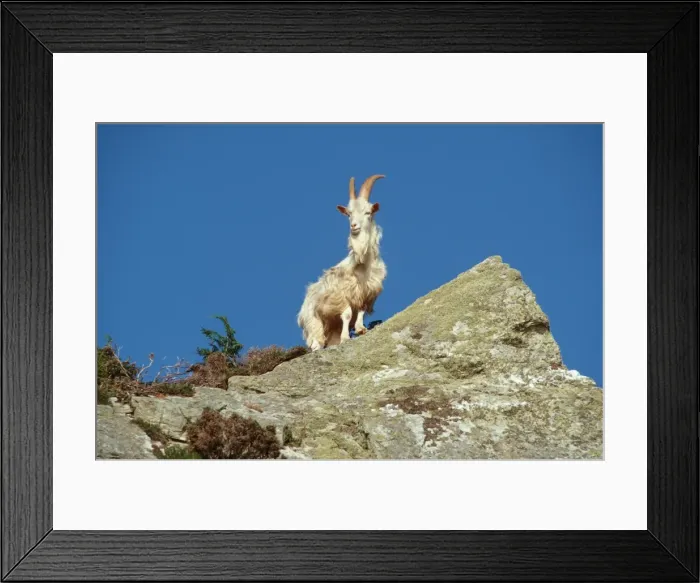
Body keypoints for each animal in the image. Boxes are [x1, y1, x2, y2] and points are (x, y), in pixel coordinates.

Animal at [297, 175, 387, 351]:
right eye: (349, 214)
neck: (362, 265)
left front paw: (360, 329)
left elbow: (360, 311)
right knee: (316, 341)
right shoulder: (341, 296)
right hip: (314, 323)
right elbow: (347, 314)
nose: (354, 226)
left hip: (330, 328)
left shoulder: (365, 294)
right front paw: (346, 338)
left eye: (368, 212)